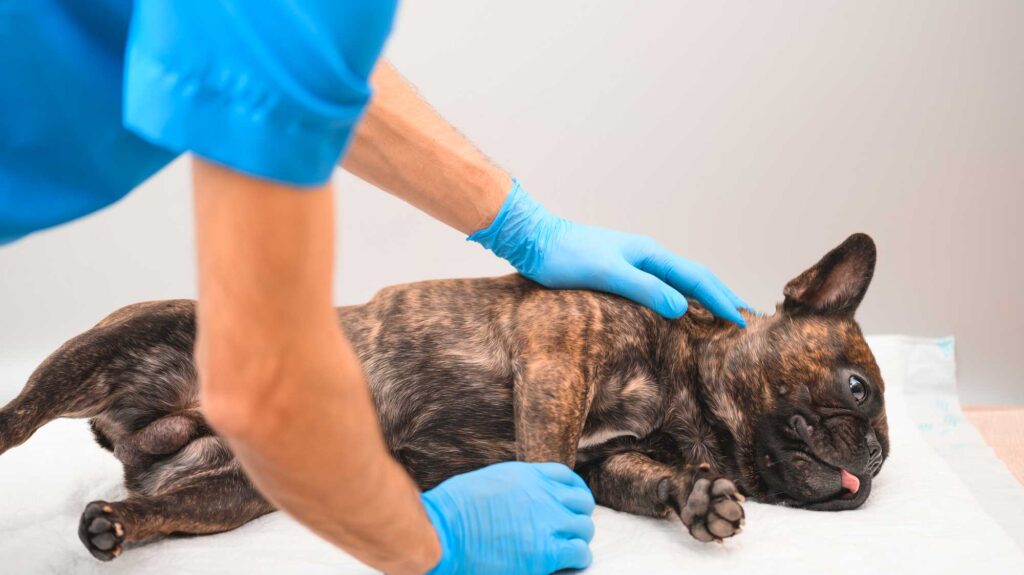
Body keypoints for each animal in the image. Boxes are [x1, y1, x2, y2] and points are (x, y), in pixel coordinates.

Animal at [0, 230, 884, 556]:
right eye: (857, 387)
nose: (877, 455)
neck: (690, 389)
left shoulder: (617, 462)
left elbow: (648, 479)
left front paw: (698, 498)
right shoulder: (556, 350)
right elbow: (549, 456)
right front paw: (536, 516)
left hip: (235, 489)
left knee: (162, 505)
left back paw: (118, 523)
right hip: (130, 335)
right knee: (21, 413)